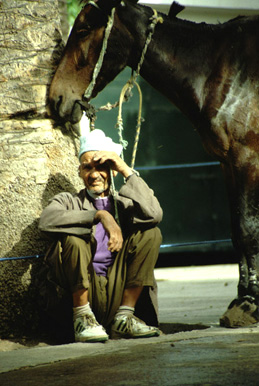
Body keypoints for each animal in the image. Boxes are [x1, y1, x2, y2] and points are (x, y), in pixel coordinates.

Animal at [49, 0, 259, 304]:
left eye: (84, 29)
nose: (56, 97)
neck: (221, 70)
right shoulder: (228, 163)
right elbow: (236, 230)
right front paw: (242, 296)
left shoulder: (247, 159)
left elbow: (247, 229)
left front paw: (251, 299)